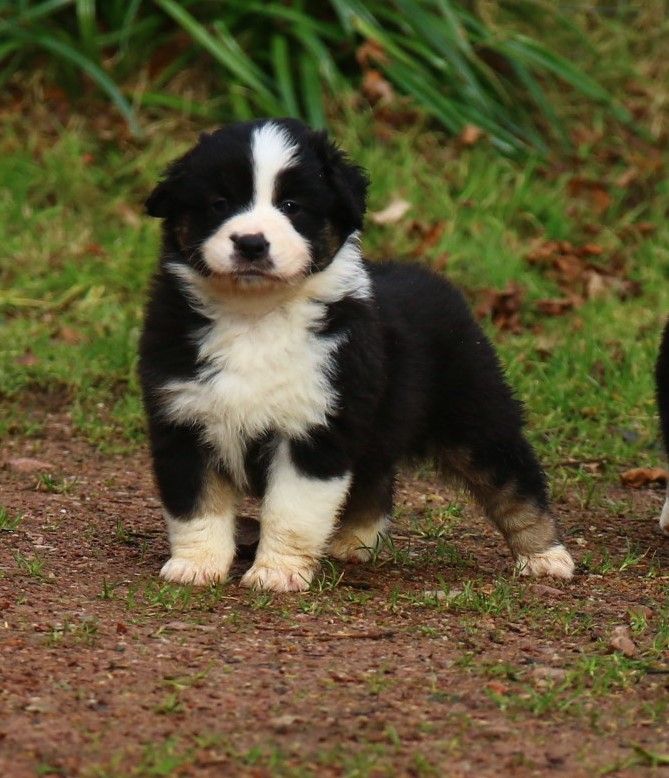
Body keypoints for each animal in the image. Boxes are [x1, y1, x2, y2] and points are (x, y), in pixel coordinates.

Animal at [137, 118, 576, 588]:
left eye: (291, 205)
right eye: (219, 203)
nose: (251, 243)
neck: (254, 315)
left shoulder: (316, 426)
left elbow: (290, 511)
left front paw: (277, 573)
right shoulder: (184, 419)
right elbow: (196, 506)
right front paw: (195, 565)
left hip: (474, 415)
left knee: (513, 480)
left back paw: (545, 556)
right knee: (374, 478)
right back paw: (355, 542)